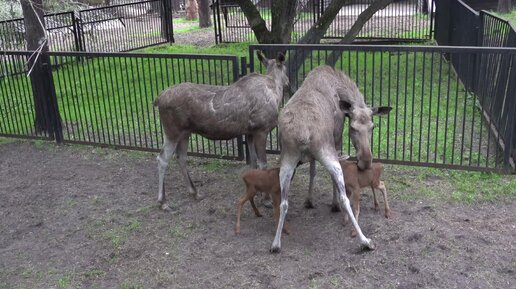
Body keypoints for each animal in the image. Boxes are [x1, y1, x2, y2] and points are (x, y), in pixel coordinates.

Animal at [155, 51, 288, 209]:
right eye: (286, 68)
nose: (288, 82)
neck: (276, 90)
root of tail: (158, 99)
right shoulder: (261, 130)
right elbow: (263, 164)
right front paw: (266, 199)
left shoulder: (249, 132)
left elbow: (253, 162)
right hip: (172, 132)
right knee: (162, 159)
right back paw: (163, 201)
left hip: (185, 133)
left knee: (181, 157)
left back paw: (194, 192)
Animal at [272, 64, 390, 252]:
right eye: (353, 128)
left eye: (373, 126)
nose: (366, 161)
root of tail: (303, 133)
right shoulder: (337, 138)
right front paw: (333, 204)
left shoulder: (312, 155)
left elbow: (312, 171)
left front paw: (309, 200)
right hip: (327, 152)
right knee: (345, 197)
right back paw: (365, 240)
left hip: (288, 159)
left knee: (284, 202)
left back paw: (276, 243)